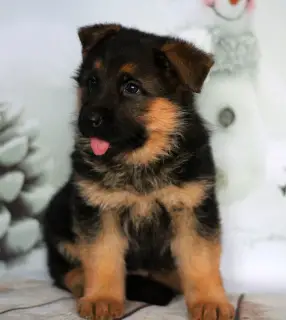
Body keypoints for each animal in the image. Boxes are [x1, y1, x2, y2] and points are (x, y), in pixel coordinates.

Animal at [43, 23, 235, 320]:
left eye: (132, 88)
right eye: (92, 82)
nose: (88, 120)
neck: (142, 160)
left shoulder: (192, 209)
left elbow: (200, 259)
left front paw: (209, 302)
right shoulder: (99, 210)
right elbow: (102, 256)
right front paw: (101, 298)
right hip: (58, 215)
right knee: (64, 271)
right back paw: (83, 284)